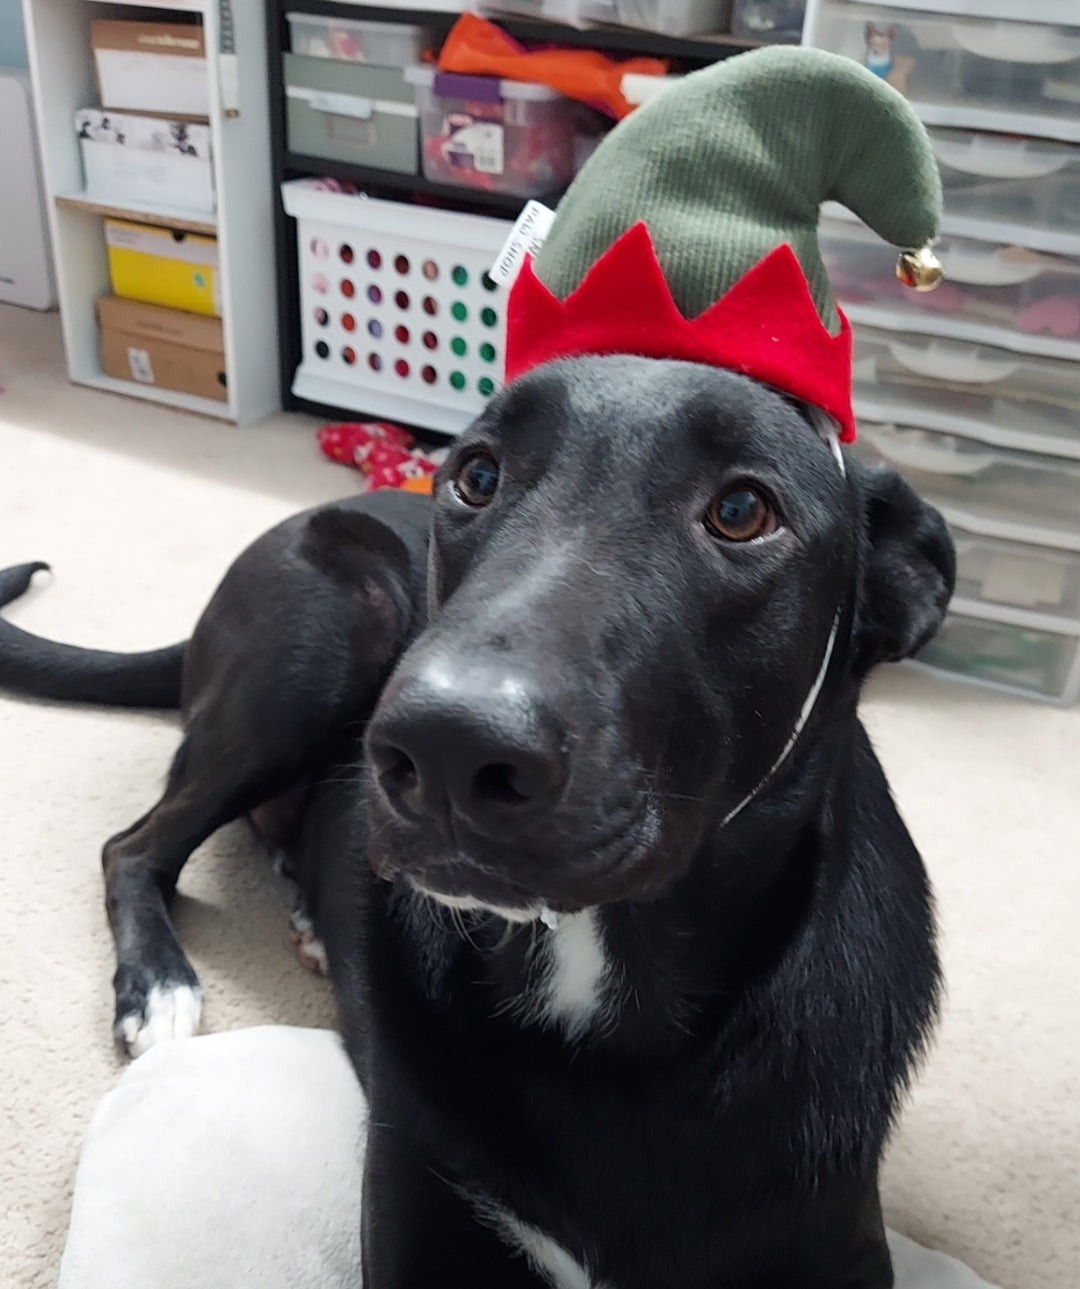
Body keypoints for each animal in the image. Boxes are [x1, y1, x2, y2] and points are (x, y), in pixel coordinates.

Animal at [2, 355, 953, 1289]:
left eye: (743, 510)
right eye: (477, 475)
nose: (445, 749)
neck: (600, 992)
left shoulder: (835, 1243)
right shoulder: (422, 1207)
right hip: (329, 632)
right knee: (132, 845)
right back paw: (159, 983)